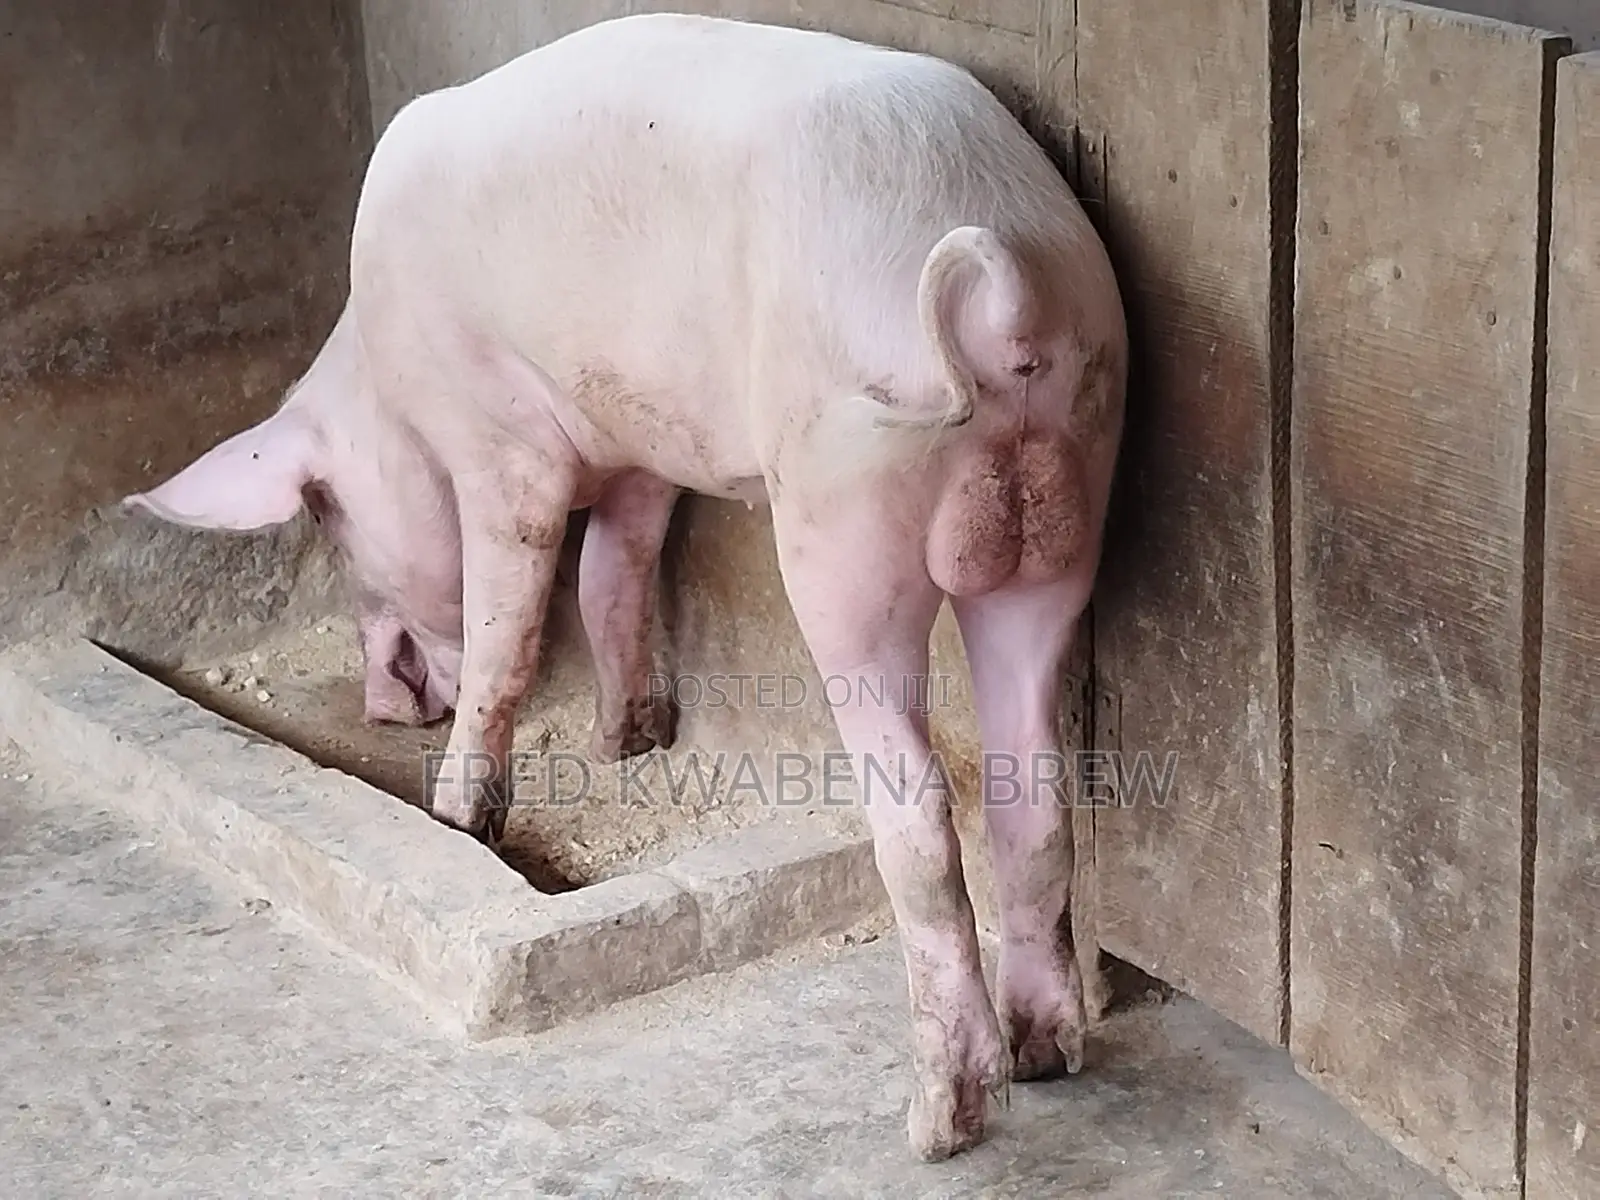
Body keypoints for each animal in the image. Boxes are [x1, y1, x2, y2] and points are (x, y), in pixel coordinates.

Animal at [121, 12, 1126, 1164]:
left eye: (326, 518)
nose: (386, 702)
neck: (385, 376)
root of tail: (1005, 284)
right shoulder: (642, 443)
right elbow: (614, 568)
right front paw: (626, 739)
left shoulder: (497, 442)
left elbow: (509, 619)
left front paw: (460, 813)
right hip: (1077, 479)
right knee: (1031, 783)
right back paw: (1046, 1054)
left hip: (846, 501)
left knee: (918, 807)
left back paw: (936, 1122)